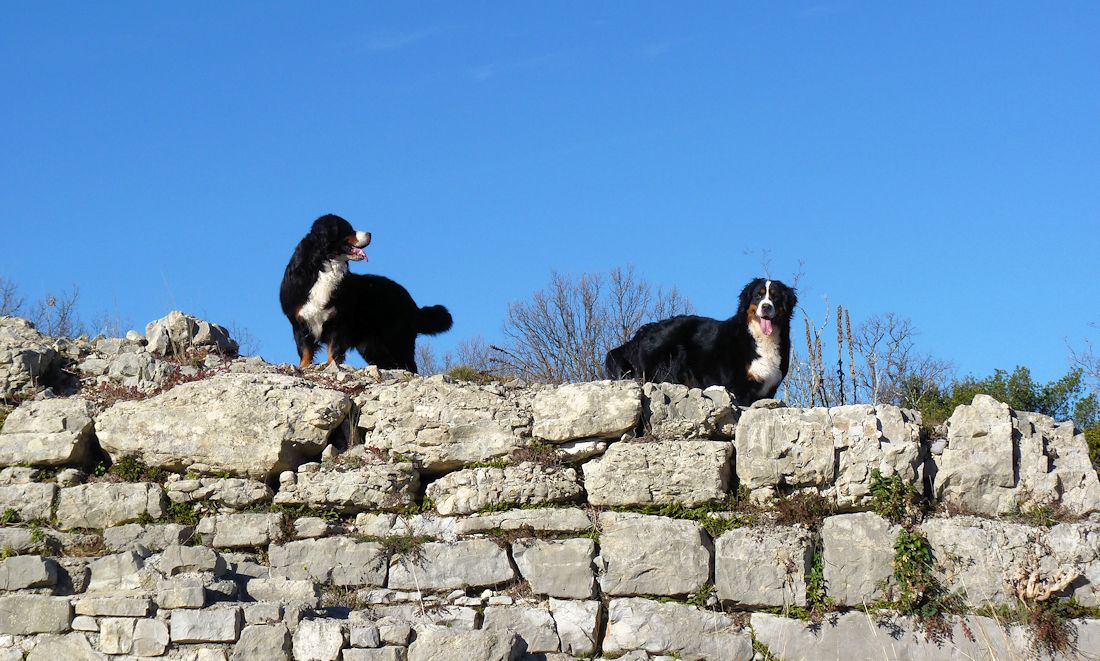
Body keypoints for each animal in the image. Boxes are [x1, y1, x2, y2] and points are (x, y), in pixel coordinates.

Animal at [279, 212, 451, 371]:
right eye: (348, 228)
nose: (370, 233)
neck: (324, 267)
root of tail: (411, 301)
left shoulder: (339, 322)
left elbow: (334, 350)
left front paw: (332, 366)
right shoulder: (299, 322)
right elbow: (305, 350)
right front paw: (303, 366)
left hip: (397, 339)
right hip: (372, 345)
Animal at [607, 277, 796, 402]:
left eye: (775, 296)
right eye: (758, 295)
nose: (766, 307)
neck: (760, 338)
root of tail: (646, 329)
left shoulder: (768, 390)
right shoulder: (739, 386)